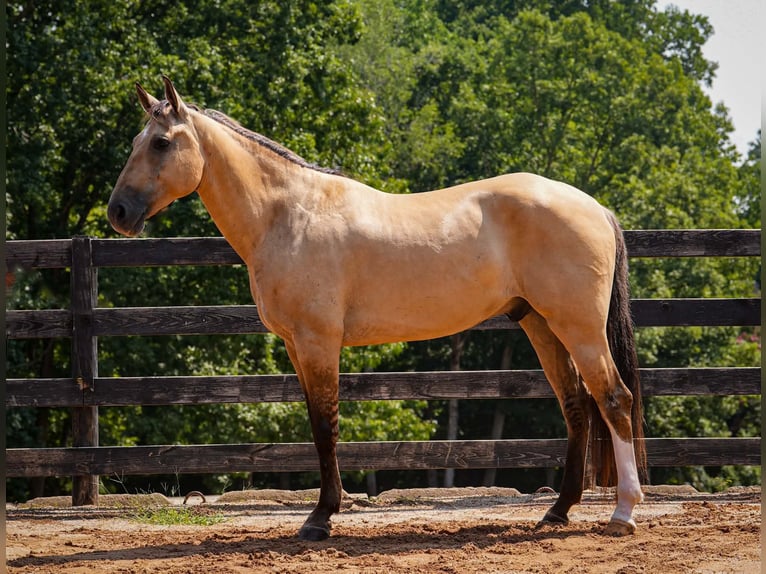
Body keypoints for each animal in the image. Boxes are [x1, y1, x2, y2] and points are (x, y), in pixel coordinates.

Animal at [108, 77, 646, 541]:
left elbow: (325, 425)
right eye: (136, 141)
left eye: (160, 143)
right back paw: (557, 512)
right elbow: (316, 423)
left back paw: (623, 512)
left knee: (613, 399)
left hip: (578, 327)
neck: (288, 215)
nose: (118, 213)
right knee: (576, 406)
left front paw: (321, 518)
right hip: (541, 324)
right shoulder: (297, 346)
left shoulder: (318, 341)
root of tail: (596, 208)